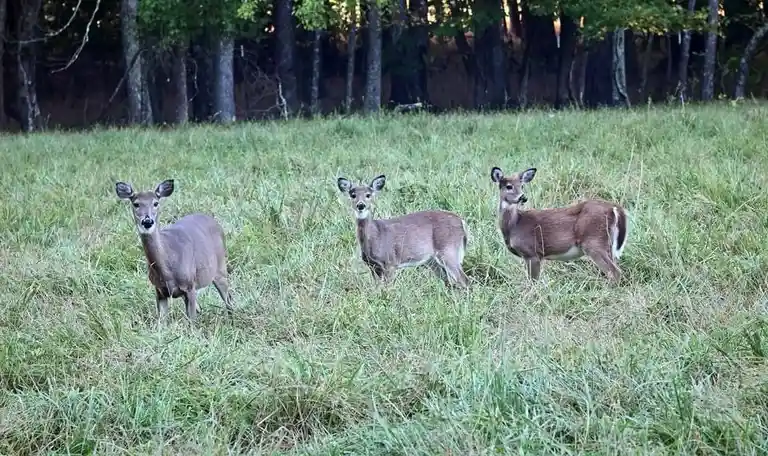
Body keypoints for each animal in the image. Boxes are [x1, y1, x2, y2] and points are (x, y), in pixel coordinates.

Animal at [115, 179, 234, 322]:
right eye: (136, 204)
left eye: (156, 203)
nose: (147, 221)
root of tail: (215, 222)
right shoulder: (159, 290)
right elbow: (162, 322)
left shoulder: (189, 286)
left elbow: (192, 322)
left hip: (220, 268)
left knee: (228, 299)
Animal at [336, 174, 470, 289]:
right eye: (353, 195)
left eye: (368, 195)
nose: (361, 205)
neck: (375, 235)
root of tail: (462, 222)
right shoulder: (373, 266)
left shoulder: (390, 262)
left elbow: (388, 288)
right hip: (433, 261)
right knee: (448, 281)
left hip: (448, 250)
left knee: (464, 279)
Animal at [490, 166, 628, 284]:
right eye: (508, 186)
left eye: (522, 186)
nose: (523, 197)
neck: (515, 225)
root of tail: (614, 208)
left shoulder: (532, 252)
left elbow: (533, 282)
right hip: (608, 244)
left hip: (594, 242)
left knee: (615, 272)